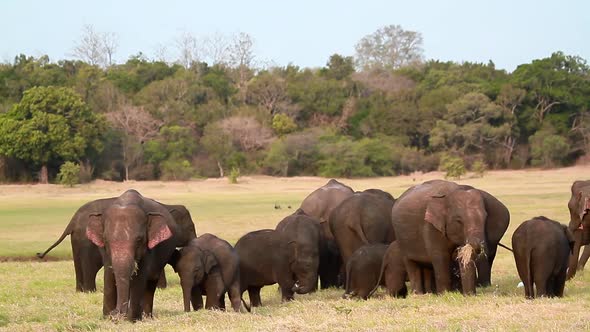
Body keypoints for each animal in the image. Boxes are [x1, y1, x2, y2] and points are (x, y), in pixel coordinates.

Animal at [37, 198, 199, 292]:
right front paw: (161, 288)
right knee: (90, 266)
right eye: (191, 228)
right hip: (86, 240)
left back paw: (81, 291)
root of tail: (72, 221)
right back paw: (90, 291)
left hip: (77, 241)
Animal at [85, 189, 182, 322]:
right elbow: (109, 274)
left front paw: (132, 320)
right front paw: (107, 317)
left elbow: (139, 278)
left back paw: (146, 316)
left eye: (139, 240)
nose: (116, 313)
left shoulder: (148, 250)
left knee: (151, 284)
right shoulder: (104, 250)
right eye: (106, 240)